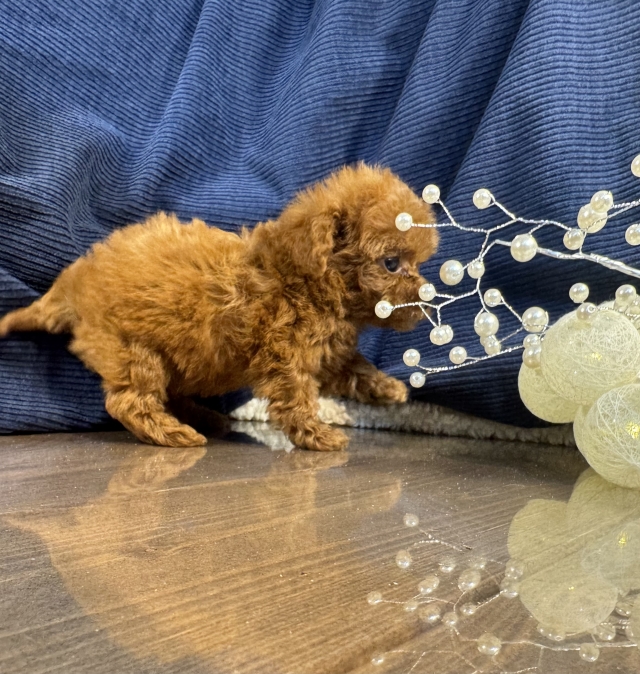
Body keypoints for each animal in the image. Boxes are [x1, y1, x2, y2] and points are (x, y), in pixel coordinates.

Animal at [0, 164, 438, 450]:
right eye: (391, 263)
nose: (428, 295)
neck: (302, 277)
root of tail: (74, 285)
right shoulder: (284, 353)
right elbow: (297, 396)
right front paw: (317, 435)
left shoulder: (327, 350)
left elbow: (352, 370)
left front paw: (388, 389)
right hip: (133, 351)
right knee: (129, 401)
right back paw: (173, 433)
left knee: (167, 393)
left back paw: (205, 418)